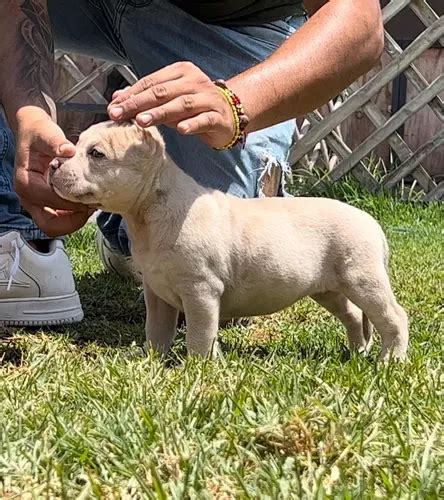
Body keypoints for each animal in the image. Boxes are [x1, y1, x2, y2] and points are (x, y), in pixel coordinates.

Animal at [49, 121, 410, 360]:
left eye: (96, 154)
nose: (53, 164)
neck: (151, 208)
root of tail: (372, 224)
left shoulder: (201, 291)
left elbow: (200, 333)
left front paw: (197, 366)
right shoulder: (157, 293)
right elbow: (158, 328)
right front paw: (153, 360)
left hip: (363, 279)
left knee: (393, 317)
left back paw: (389, 361)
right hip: (330, 289)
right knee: (354, 315)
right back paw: (357, 353)